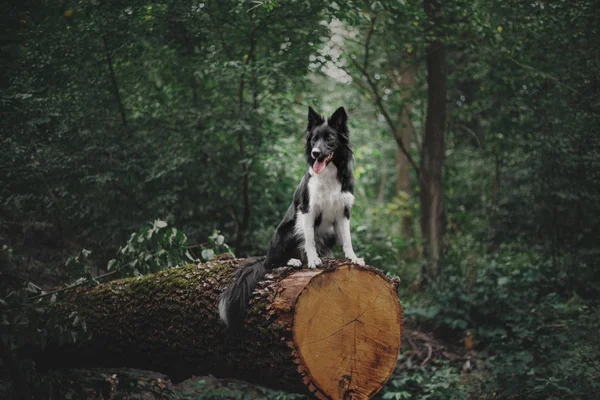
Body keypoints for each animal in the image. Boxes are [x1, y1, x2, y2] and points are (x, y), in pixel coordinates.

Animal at [218, 105, 364, 328]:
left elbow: (347, 239)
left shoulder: (343, 211)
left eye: (329, 139)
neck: (329, 173)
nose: (315, 153)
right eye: (313, 139)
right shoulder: (307, 210)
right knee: (273, 262)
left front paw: (353, 258)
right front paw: (312, 260)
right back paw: (294, 261)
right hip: (287, 231)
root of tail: (265, 256)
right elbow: (309, 239)